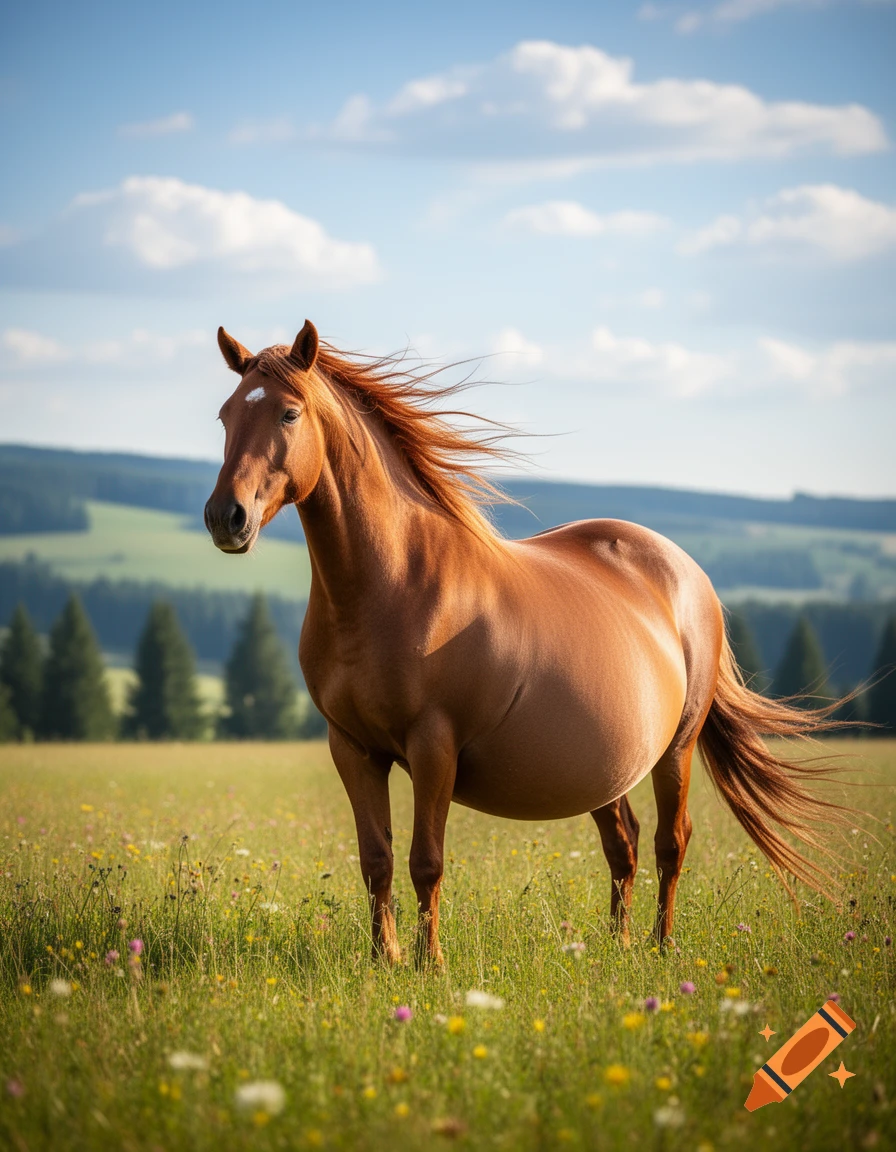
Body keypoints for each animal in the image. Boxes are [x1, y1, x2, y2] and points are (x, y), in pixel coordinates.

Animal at [205, 319, 847, 965]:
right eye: (226, 414)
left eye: (289, 413)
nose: (224, 517)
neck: (391, 586)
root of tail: (686, 571)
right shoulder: (353, 748)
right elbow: (376, 862)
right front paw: (385, 959)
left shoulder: (433, 746)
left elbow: (425, 862)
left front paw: (429, 964)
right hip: (606, 762)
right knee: (625, 842)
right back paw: (619, 945)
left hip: (677, 748)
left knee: (671, 840)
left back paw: (662, 946)